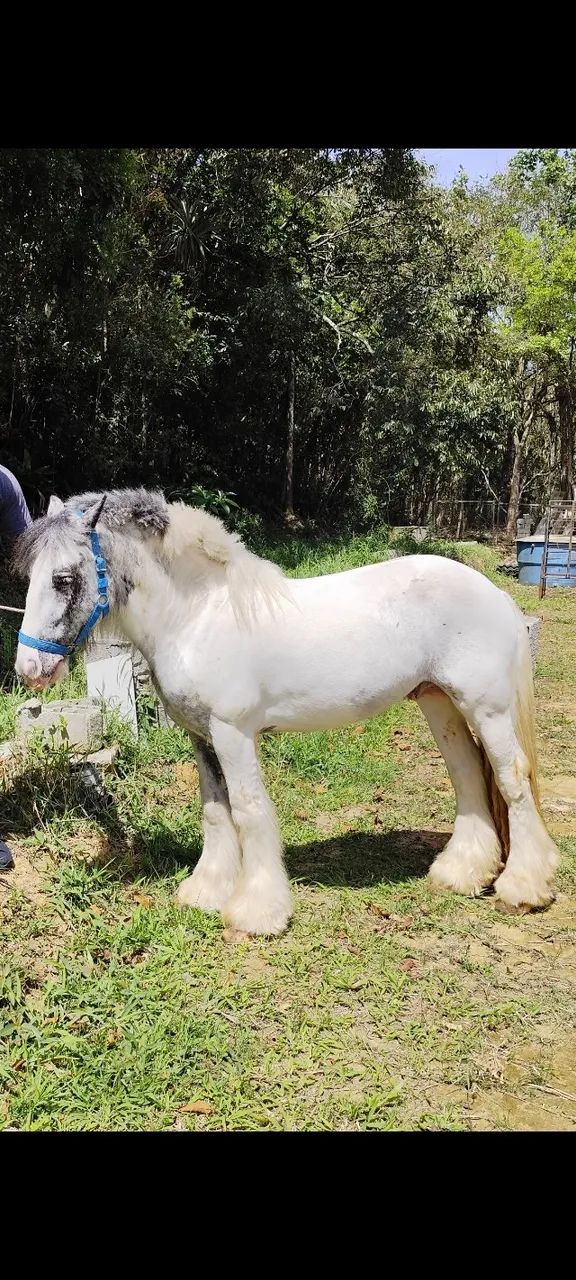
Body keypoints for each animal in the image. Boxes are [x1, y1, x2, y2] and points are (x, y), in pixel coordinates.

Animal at [13, 488, 559, 936]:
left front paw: (257, 912)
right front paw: (205, 891)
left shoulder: (232, 733)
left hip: (486, 708)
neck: (198, 616)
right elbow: (215, 810)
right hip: (437, 700)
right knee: (467, 774)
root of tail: (495, 594)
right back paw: (460, 873)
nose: (30, 668)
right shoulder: (201, 736)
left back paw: (523, 888)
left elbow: (249, 810)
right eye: (30, 576)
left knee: (511, 778)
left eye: (64, 579)